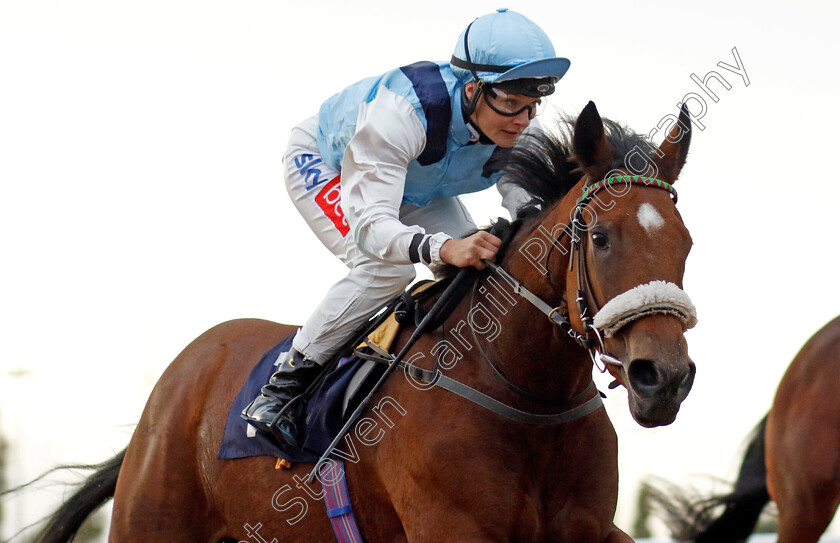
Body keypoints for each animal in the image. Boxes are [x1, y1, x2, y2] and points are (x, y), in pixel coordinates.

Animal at [34, 103, 696, 543]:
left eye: (686, 243)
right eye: (601, 237)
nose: (663, 378)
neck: (529, 398)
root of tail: (179, 377)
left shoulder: (588, 528)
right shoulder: (452, 528)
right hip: (152, 523)